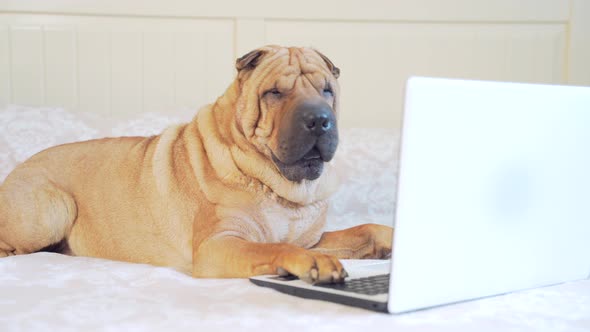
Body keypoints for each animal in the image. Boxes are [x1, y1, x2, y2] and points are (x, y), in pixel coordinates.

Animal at [1, 45, 398, 284]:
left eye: (327, 89)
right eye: (274, 93)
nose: (319, 119)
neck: (280, 189)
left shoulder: (314, 238)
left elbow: (364, 229)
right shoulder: (219, 245)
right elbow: (273, 247)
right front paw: (310, 265)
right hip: (53, 208)